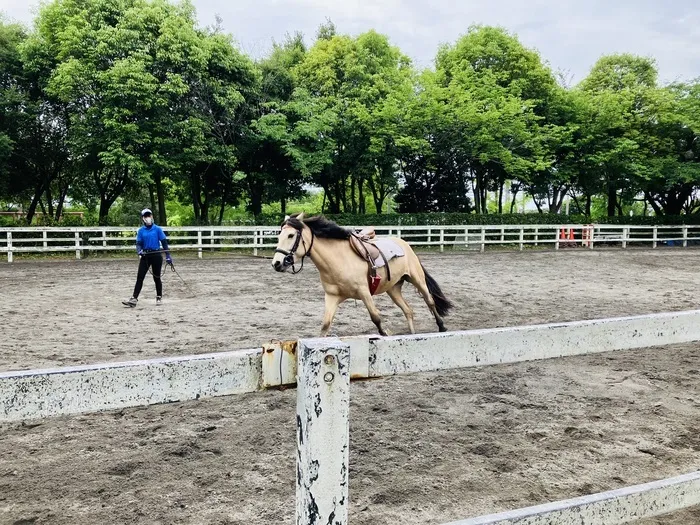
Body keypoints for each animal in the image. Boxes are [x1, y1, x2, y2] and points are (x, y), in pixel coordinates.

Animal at [270, 210, 452, 336]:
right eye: (279, 236)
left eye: (291, 235)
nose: (276, 263)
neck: (338, 260)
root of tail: (404, 244)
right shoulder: (332, 297)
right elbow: (325, 325)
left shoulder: (364, 292)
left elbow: (376, 317)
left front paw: (385, 333)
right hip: (393, 289)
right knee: (408, 310)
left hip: (417, 280)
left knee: (430, 301)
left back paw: (442, 326)